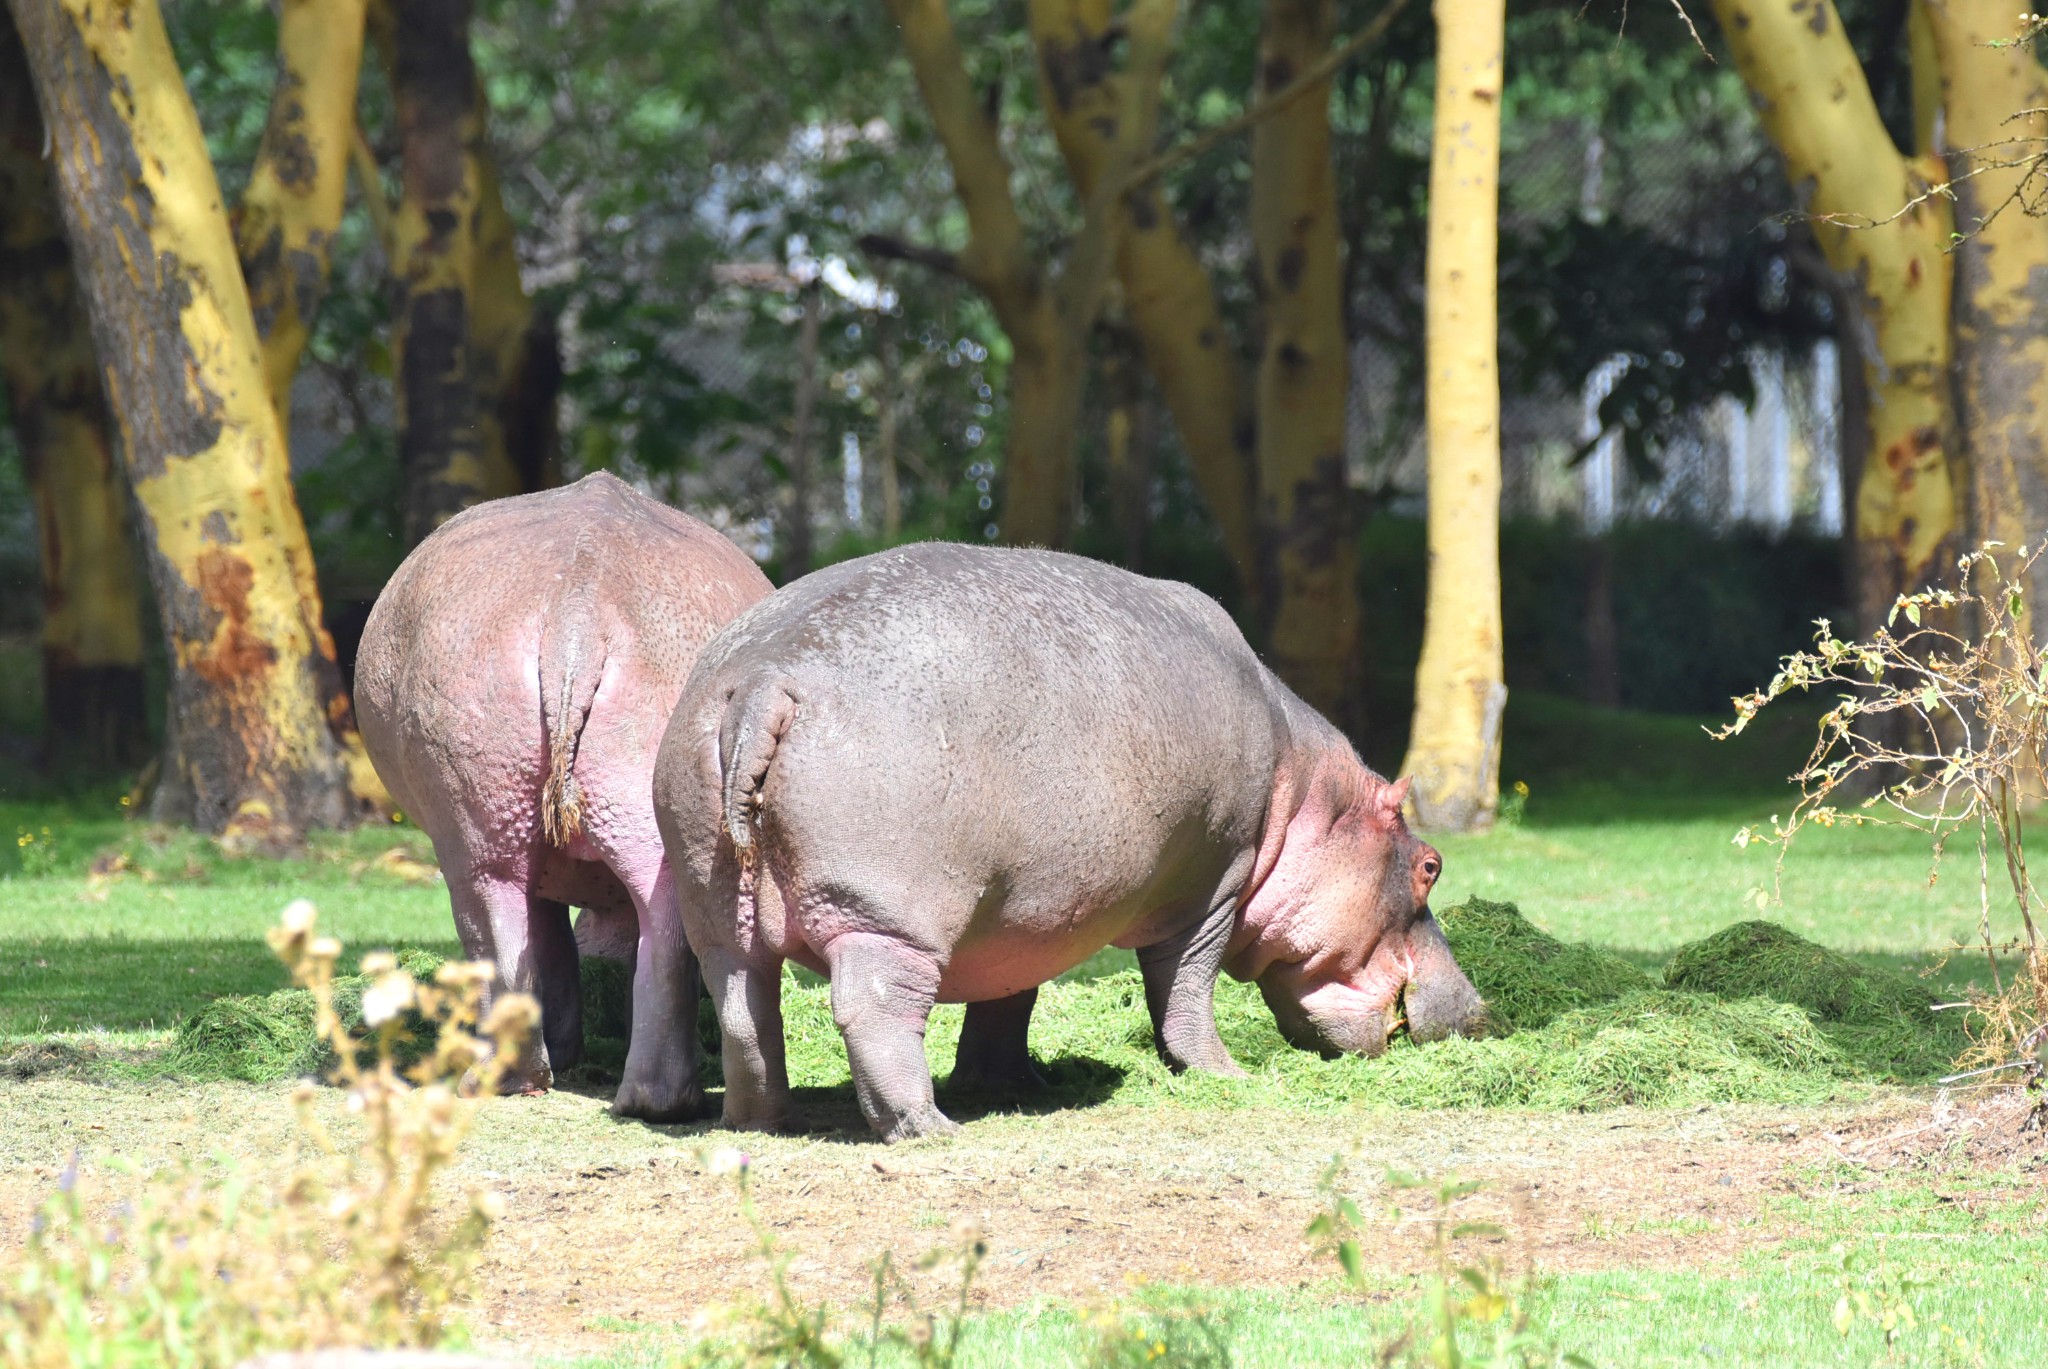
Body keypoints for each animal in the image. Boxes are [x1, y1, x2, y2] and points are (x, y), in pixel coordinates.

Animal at [356, 473, 770, 1123]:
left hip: (478, 837)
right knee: (652, 933)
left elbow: (551, 944)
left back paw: (510, 1080)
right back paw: (644, 1099)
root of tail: (578, 611)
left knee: (503, 937)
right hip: (559, 823)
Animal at [659, 541, 1490, 1139]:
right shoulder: (1215, 886)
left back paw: (765, 1121)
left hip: (716, 908)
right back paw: (927, 1126)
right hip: (885, 915)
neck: (1305, 794)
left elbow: (1008, 998)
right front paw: (1225, 1075)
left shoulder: (1021, 915)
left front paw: (1014, 1083)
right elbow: (1185, 987)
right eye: (1430, 866)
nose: (1478, 1010)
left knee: (744, 1010)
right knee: (872, 1005)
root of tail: (763, 679)